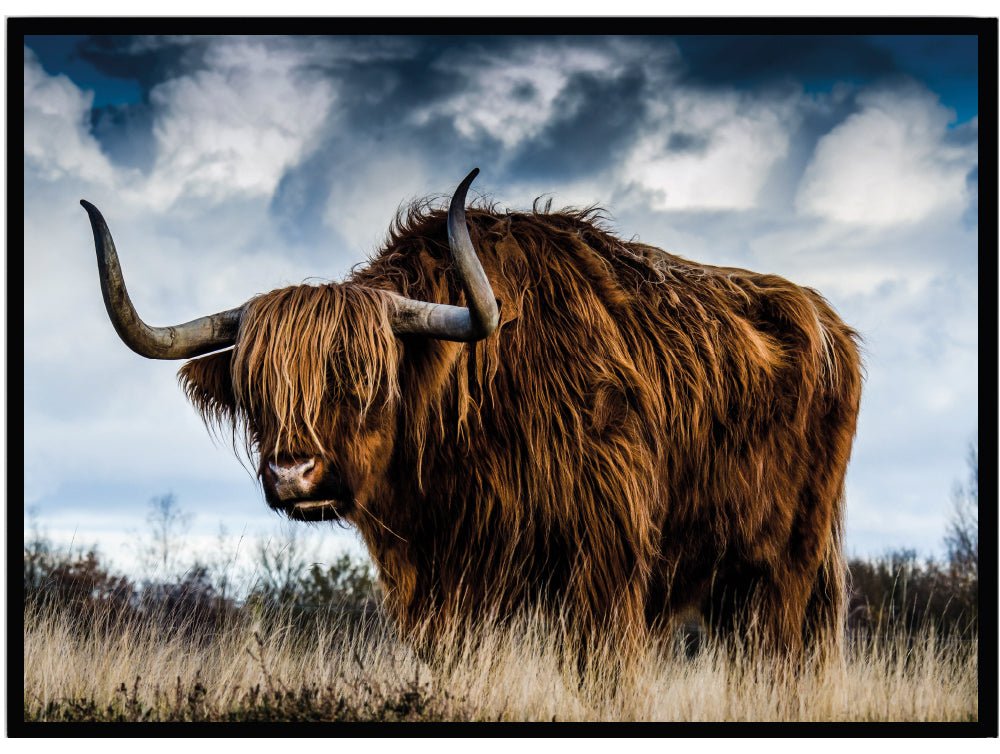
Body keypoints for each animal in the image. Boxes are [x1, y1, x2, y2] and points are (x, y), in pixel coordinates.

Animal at [81, 169, 862, 658]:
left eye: (365, 379)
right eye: (256, 389)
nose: (292, 474)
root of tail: (827, 321)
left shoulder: (606, 563)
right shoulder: (443, 584)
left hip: (788, 567)